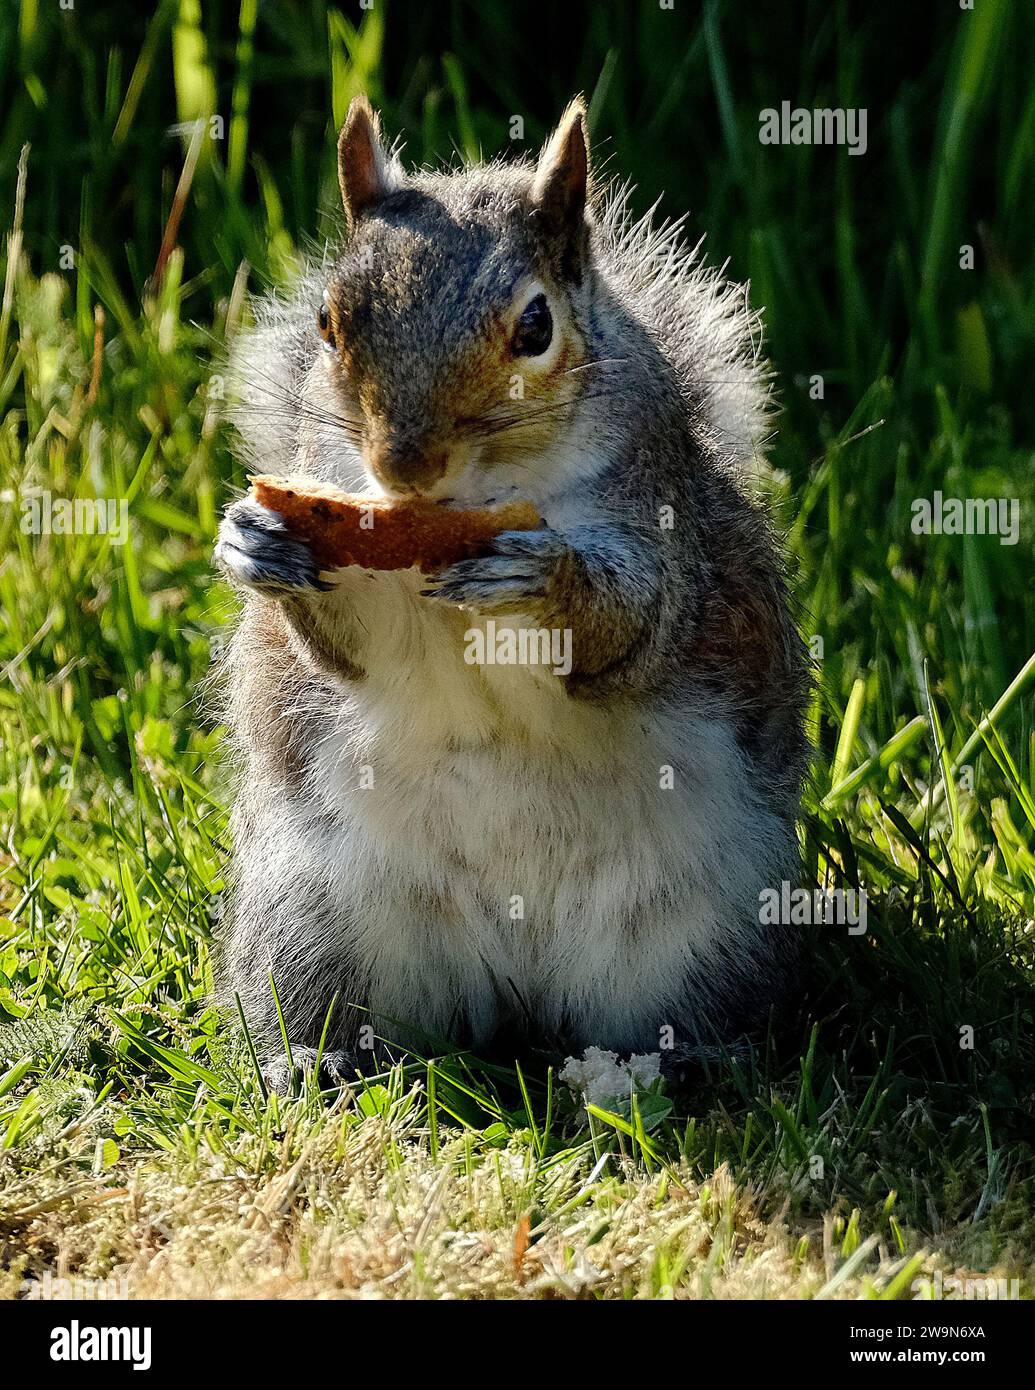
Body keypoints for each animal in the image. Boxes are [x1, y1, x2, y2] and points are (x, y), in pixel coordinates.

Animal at [212, 100, 805, 1095]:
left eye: (536, 328)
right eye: (329, 323)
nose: (404, 466)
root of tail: (518, 989)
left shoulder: (660, 532)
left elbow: (632, 631)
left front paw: (542, 579)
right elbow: (344, 651)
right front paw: (258, 540)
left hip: (712, 929)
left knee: (685, 1009)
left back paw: (669, 1066)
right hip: (310, 916)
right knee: (330, 1000)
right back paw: (313, 1059)